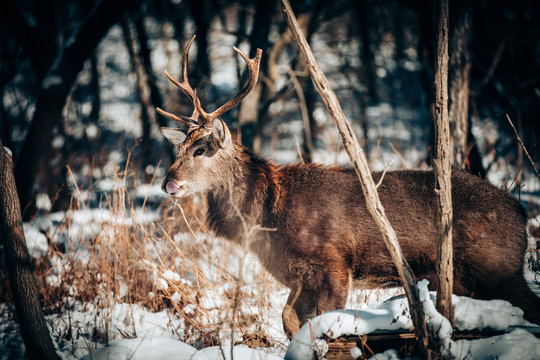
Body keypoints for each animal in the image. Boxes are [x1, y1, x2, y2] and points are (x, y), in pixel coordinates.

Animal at [156, 35, 540, 338]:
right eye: (177, 149)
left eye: (200, 149)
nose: (168, 183)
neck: (270, 217)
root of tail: (522, 213)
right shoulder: (298, 278)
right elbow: (289, 320)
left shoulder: (334, 265)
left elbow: (321, 320)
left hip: (498, 266)